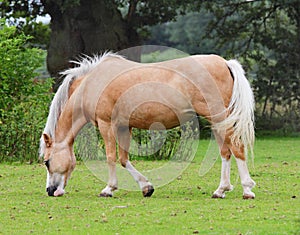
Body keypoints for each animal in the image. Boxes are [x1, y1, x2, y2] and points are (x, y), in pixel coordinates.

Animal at [39, 51, 255, 198]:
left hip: (219, 118)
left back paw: (247, 189)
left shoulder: (106, 124)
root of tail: (225, 63)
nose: (50, 190)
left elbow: (110, 157)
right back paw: (221, 190)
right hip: (217, 121)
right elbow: (124, 159)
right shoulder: (124, 127)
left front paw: (109, 188)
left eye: (47, 161)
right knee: (225, 152)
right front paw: (146, 187)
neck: (90, 85)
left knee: (236, 148)